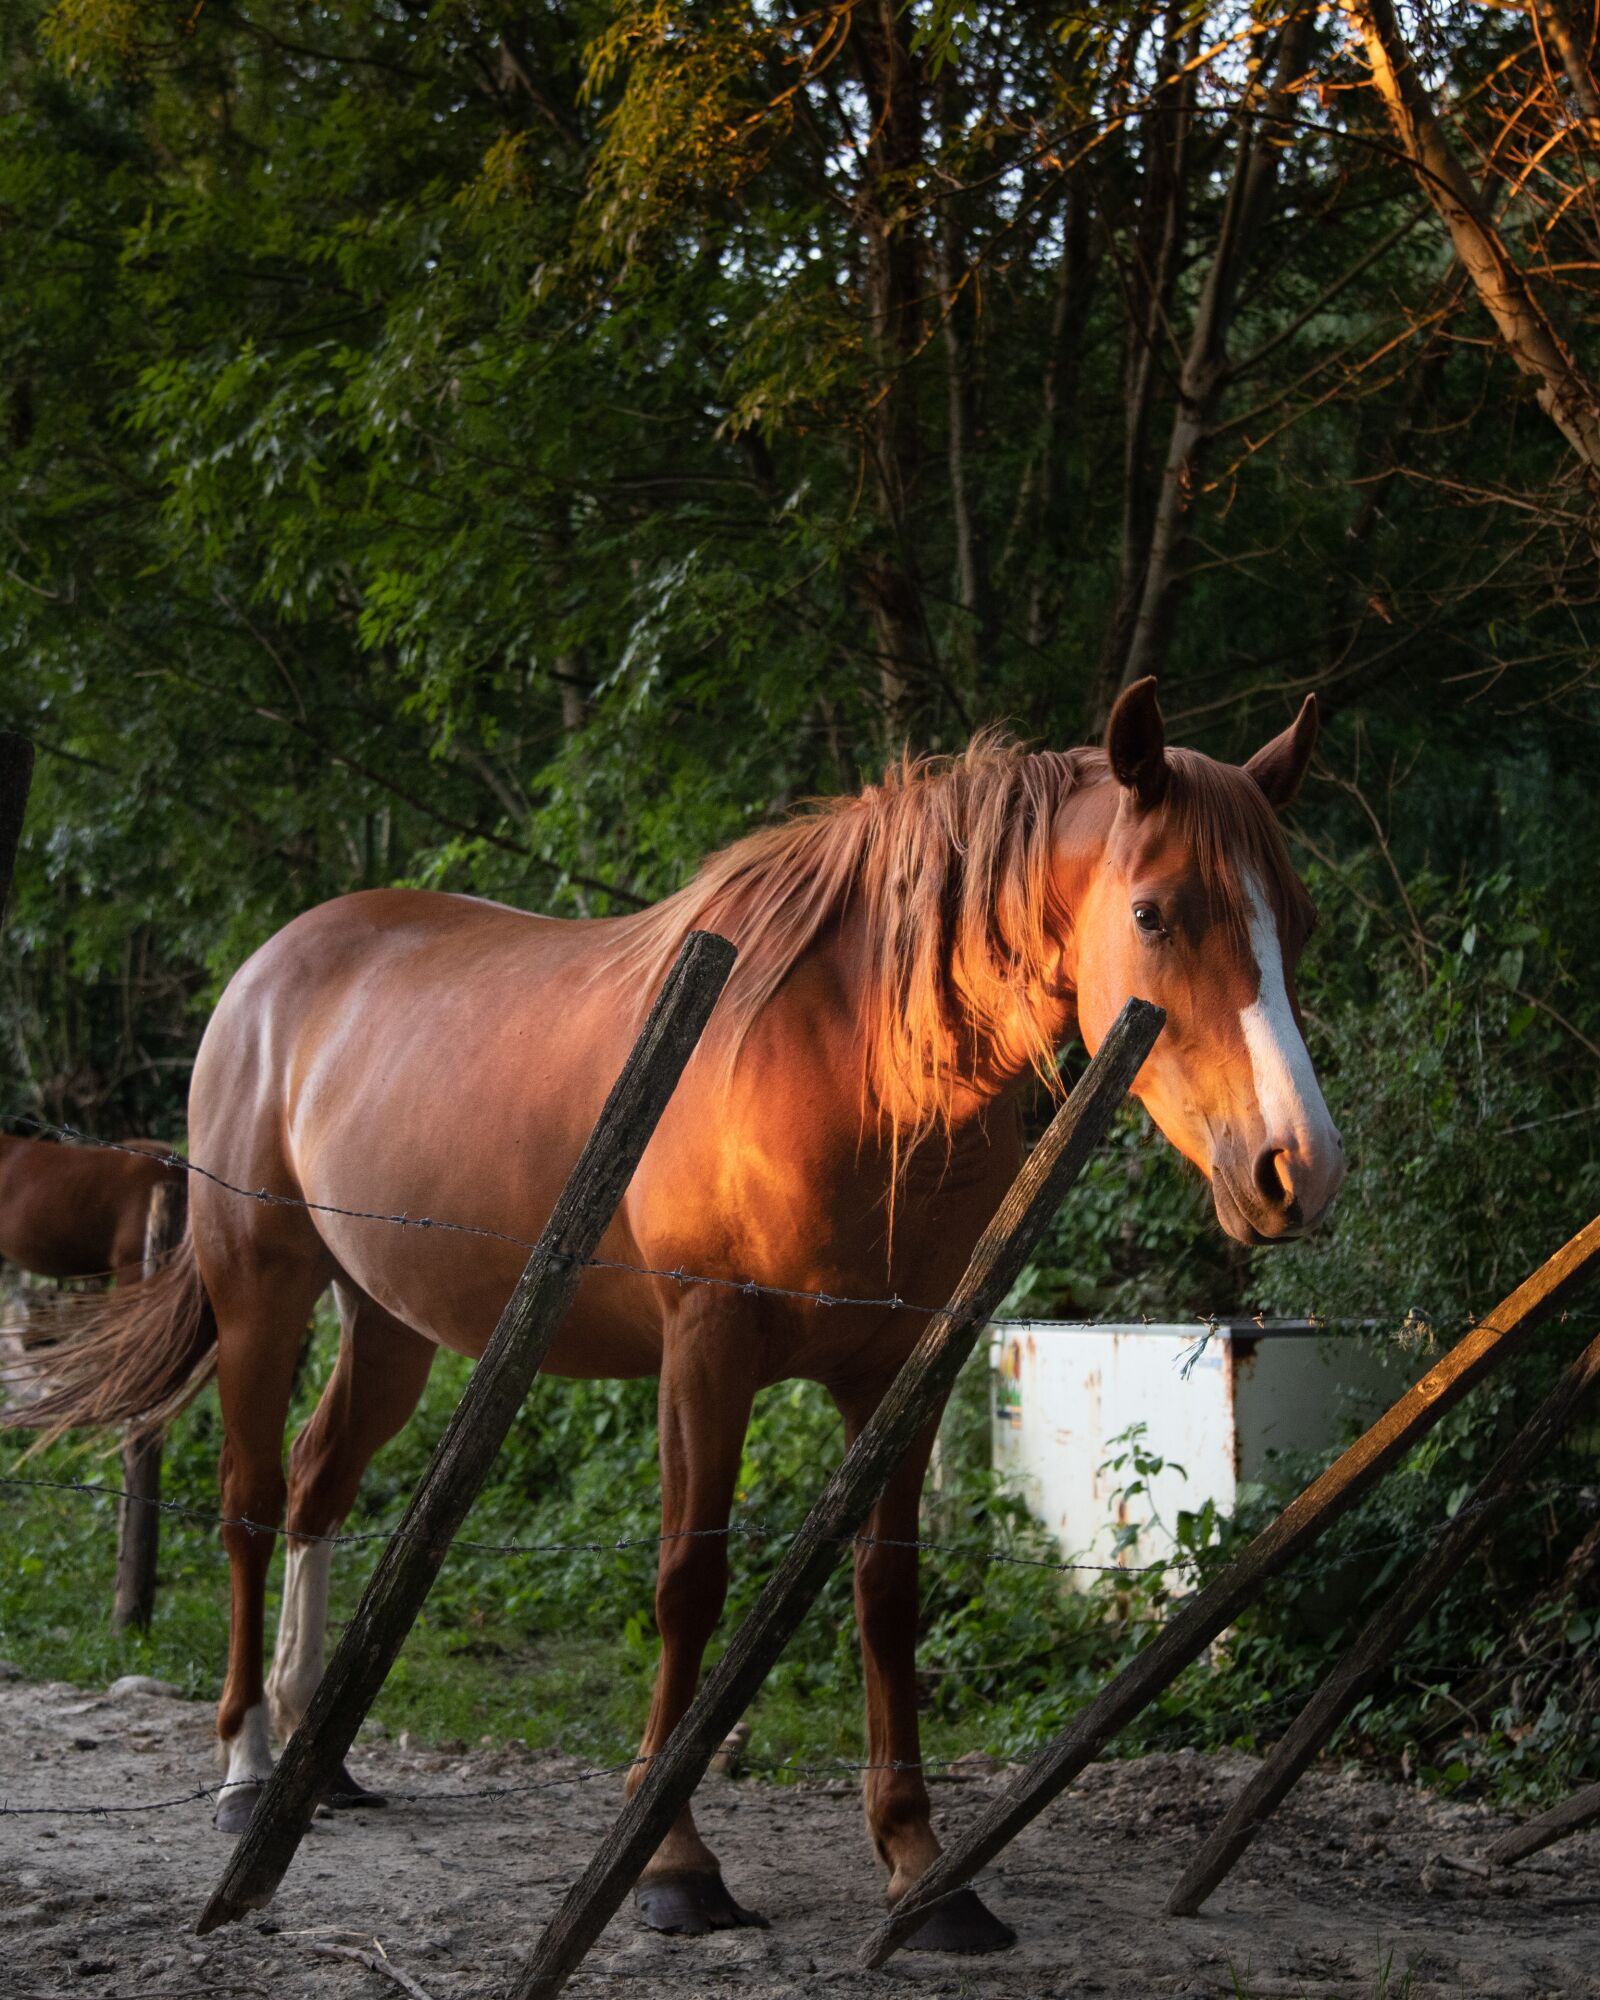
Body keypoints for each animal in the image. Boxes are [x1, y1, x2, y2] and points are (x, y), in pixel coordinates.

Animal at [12, 684, 1344, 1952]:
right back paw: (246, 1767)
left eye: (1297, 920)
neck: (847, 1064)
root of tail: (268, 969)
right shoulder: (705, 1352)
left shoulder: (903, 1367)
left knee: (313, 1483)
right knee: (245, 1499)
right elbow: (688, 1580)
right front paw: (673, 1862)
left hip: (390, 1322)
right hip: (265, 1290)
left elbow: (886, 1596)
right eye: (1156, 913)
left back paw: (316, 1757)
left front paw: (921, 1868)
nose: (1298, 1167)